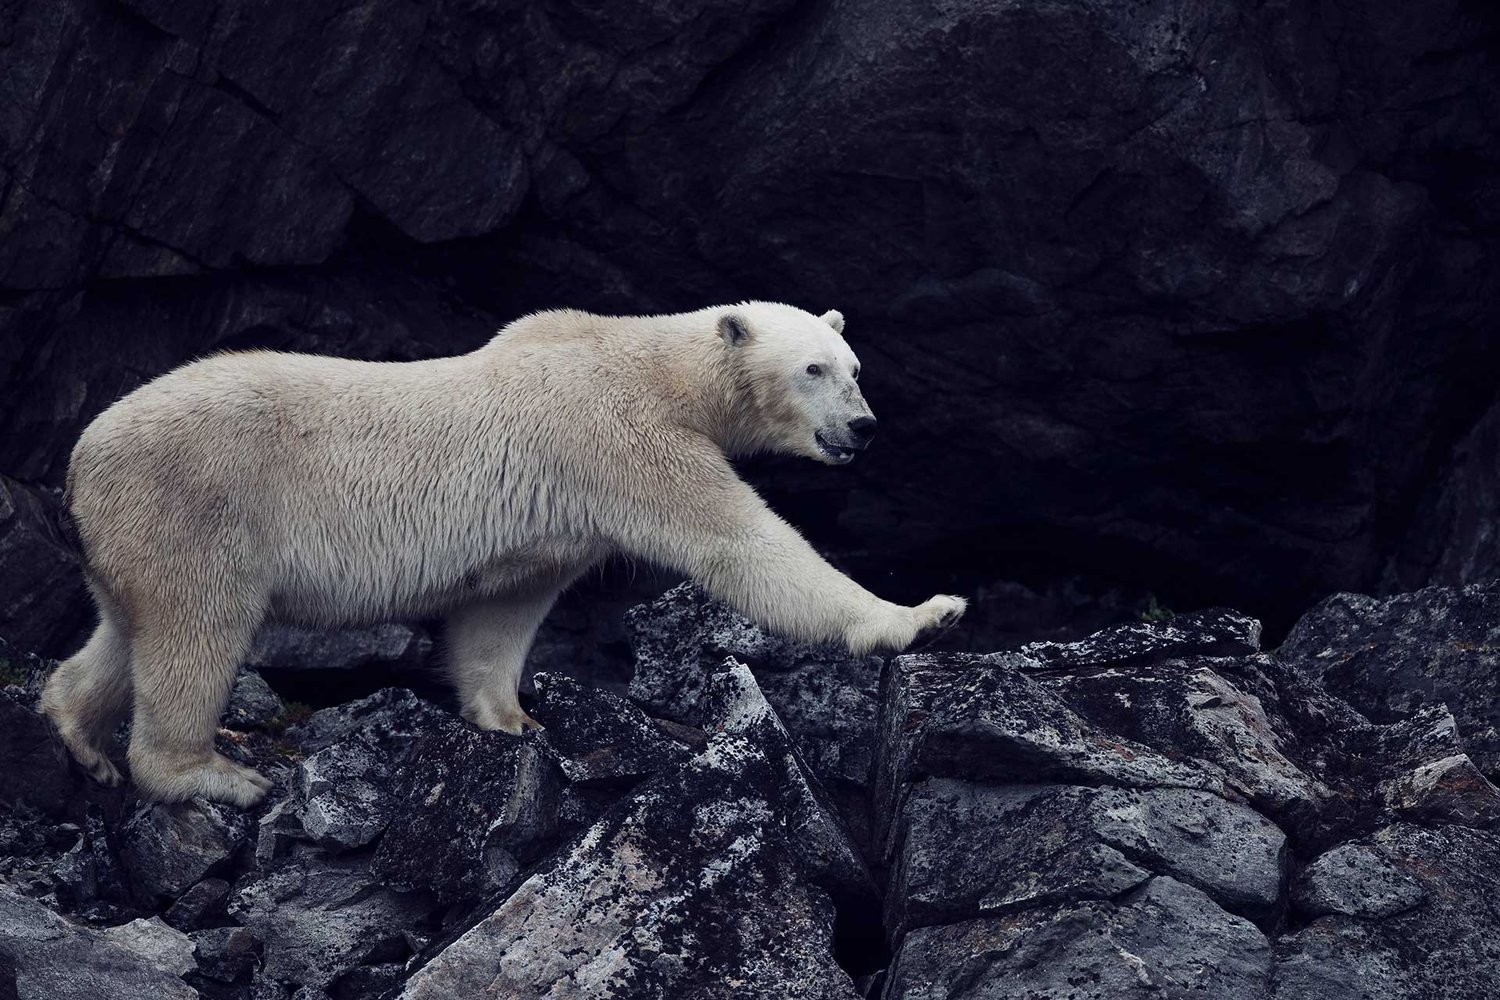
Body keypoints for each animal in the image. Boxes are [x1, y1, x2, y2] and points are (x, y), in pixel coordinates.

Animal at [41, 302, 967, 807]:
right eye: (813, 369)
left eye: (855, 366)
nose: (864, 427)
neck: (651, 364)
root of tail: (79, 460)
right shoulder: (620, 439)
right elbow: (744, 544)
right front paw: (921, 614)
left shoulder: (557, 516)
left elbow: (504, 612)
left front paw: (513, 719)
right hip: (198, 505)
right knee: (197, 630)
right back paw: (209, 774)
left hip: (133, 532)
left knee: (128, 629)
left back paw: (79, 734)